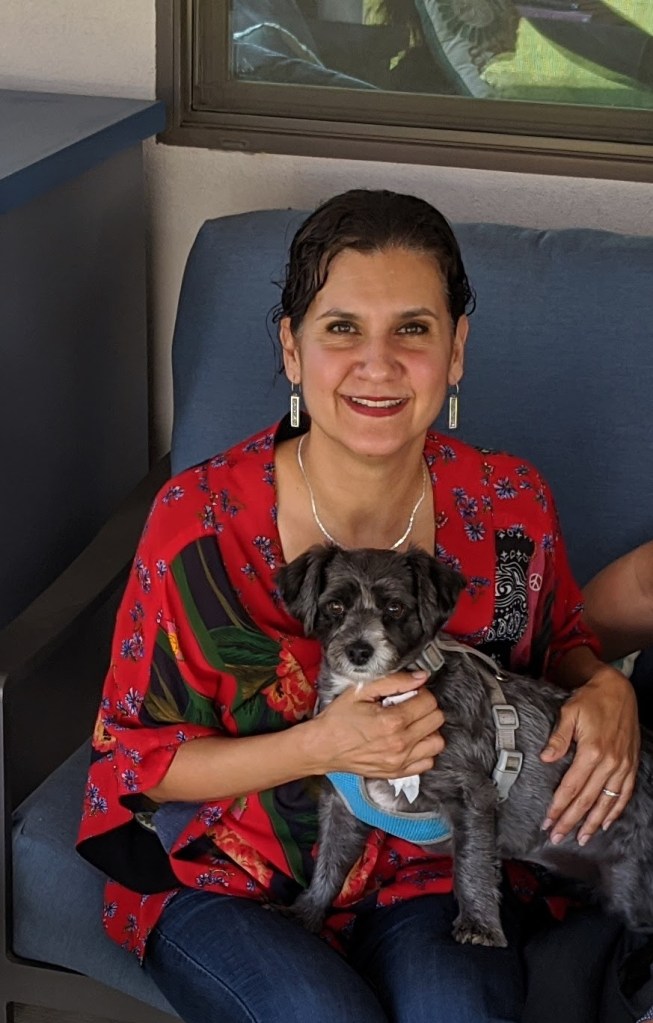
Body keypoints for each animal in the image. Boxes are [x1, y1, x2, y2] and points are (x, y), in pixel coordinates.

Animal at [276, 544, 653, 948]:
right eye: (334, 606)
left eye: (395, 607)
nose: (359, 650)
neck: (382, 699)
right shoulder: (341, 805)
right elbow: (331, 862)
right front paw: (307, 911)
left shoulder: (473, 795)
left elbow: (472, 864)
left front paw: (479, 925)